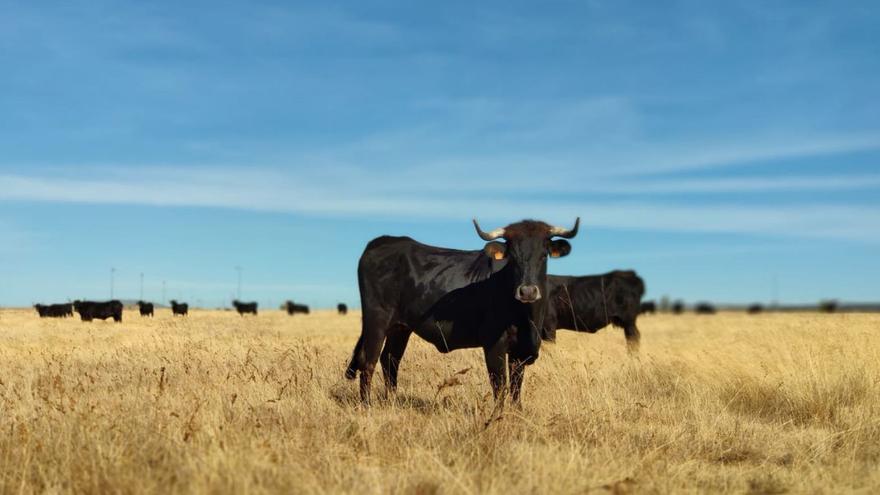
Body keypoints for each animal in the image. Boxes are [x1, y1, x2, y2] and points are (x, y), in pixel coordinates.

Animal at [346, 218, 579, 405]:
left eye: (543, 255)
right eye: (512, 256)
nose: (527, 291)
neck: (525, 317)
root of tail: (382, 241)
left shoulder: (520, 352)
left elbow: (516, 388)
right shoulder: (494, 344)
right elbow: (500, 386)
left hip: (400, 327)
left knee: (390, 360)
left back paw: (391, 402)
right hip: (376, 319)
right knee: (369, 361)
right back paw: (367, 406)